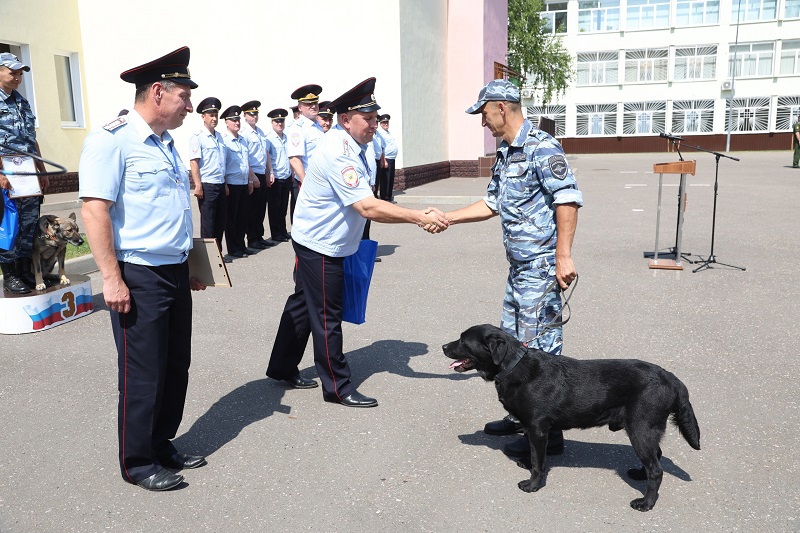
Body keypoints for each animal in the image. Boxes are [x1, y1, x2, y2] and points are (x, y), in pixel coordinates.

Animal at [444, 324, 700, 512]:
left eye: (463, 341)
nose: (443, 346)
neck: (513, 366)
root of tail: (671, 378)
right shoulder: (534, 428)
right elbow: (535, 453)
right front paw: (527, 462)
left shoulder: (537, 427)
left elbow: (538, 461)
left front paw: (533, 484)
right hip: (645, 430)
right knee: (656, 456)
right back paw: (639, 474)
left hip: (640, 429)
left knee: (656, 469)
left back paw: (646, 503)